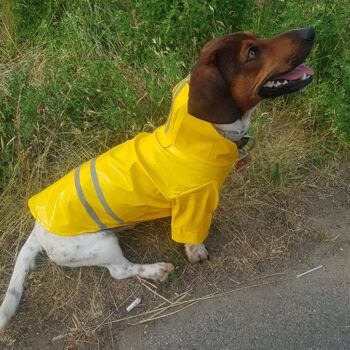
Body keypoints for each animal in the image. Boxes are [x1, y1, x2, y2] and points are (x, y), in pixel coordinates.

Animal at [0, 27, 316, 328]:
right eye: (252, 52)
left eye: (255, 38)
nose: (310, 32)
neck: (204, 132)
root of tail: (39, 227)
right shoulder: (191, 204)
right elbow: (192, 240)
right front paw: (198, 253)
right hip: (100, 245)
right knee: (120, 270)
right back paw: (155, 269)